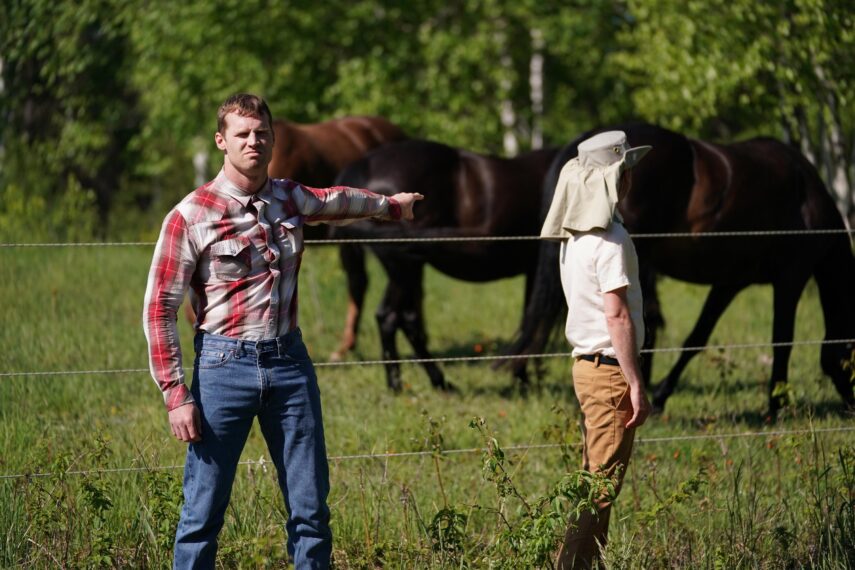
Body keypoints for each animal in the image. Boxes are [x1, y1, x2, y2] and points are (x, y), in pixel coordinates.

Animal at [330, 139, 560, 390]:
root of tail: (364, 165)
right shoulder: (539, 270)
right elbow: (534, 320)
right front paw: (523, 378)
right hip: (404, 267)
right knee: (391, 317)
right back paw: (412, 382)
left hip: (407, 267)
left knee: (403, 319)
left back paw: (425, 380)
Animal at [508, 122, 855, 412]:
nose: (852, 405)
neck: (805, 195)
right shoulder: (791, 277)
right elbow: (783, 340)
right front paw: (775, 405)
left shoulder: (730, 282)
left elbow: (696, 337)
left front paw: (662, 394)